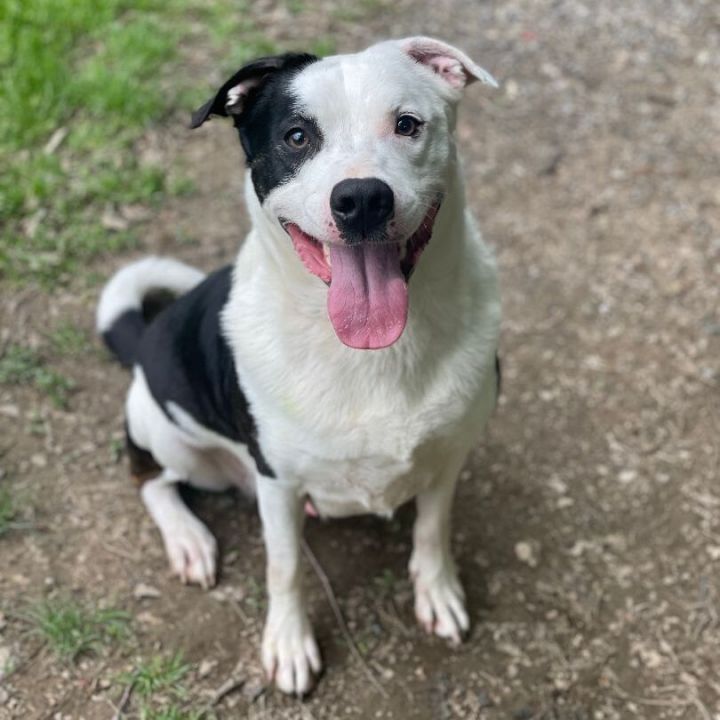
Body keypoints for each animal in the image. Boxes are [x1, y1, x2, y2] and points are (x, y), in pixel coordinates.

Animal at [95, 36, 500, 696]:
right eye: (296, 136)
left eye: (407, 124)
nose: (361, 199)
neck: (369, 353)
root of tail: (147, 336)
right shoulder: (278, 484)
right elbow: (284, 567)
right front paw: (288, 643)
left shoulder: (448, 456)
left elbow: (432, 529)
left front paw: (436, 591)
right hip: (167, 431)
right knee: (148, 477)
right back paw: (187, 539)